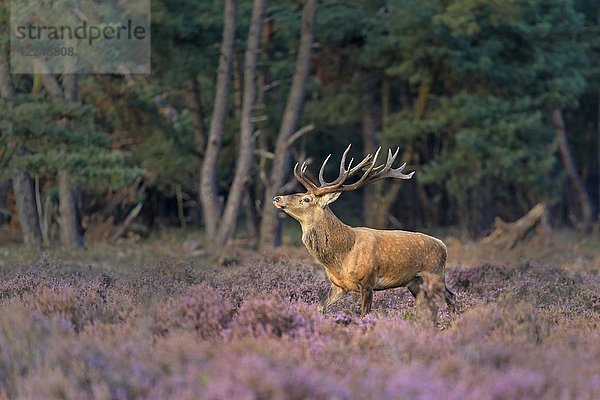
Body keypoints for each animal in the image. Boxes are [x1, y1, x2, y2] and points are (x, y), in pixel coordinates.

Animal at [274, 145, 458, 324]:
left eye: (306, 199)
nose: (277, 198)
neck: (340, 256)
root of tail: (443, 245)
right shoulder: (339, 285)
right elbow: (320, 307)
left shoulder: (368, 282)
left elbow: (364, 315)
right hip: (414, 282)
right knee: (431, 306)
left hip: (435, 273)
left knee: (451, 297)